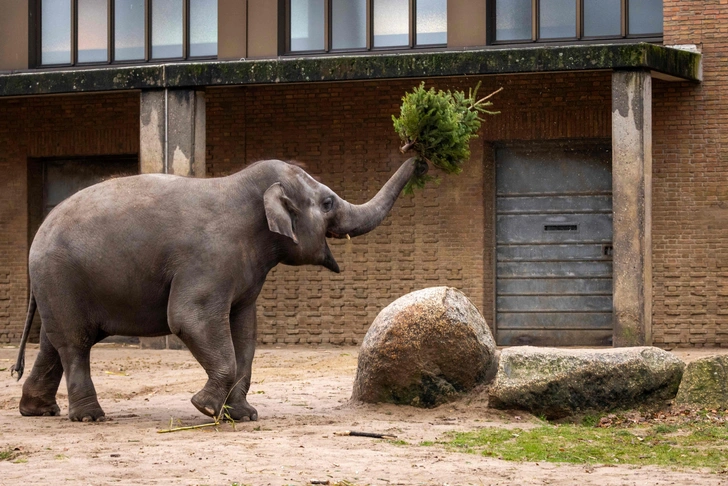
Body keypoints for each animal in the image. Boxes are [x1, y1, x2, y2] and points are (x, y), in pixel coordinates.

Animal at [11, 157, 420, 422]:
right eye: (328, 202)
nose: (420, 157)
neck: (244, 189)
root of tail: (38, 234)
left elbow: (245, 333)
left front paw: (244, 416)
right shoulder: (209, 260)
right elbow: (189, 319)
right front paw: (205, 407)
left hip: (57, 284)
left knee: (53, 343)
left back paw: (39, 411)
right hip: (61, 278)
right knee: (74, 343)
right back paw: (91, 417)